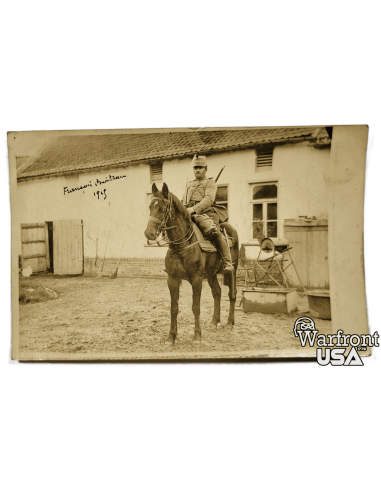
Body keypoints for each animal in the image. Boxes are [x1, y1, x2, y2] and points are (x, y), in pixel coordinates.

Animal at [143, 182, 238, 342]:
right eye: (150, 207)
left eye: (162, 208)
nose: (148, 233)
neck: (181, 246)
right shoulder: (172, 279)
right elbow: (174, 308)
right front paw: (172, 336)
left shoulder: (196, 279)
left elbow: (196, 307)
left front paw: (197, 335)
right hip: (211, 274)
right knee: (217, 292)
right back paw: (214, 321)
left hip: (233, 271)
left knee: (232, 294)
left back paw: (230, 322)